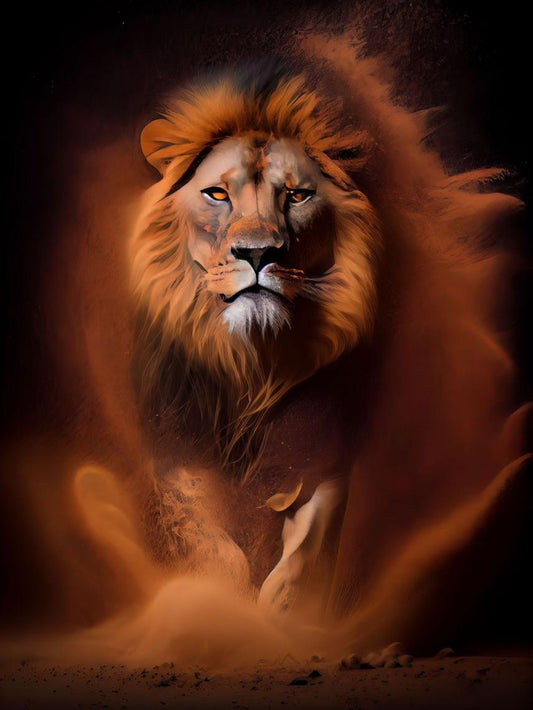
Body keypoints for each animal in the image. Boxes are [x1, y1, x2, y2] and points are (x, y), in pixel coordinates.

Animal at [129, 44, 529, 638]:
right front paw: (218, 613)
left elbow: (308, 546)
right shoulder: (177, 450)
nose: (258, 252)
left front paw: (288, 616)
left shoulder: (329, 450)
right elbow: (209, 548)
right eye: (217, 193)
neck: (256, 364)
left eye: (297, 195)